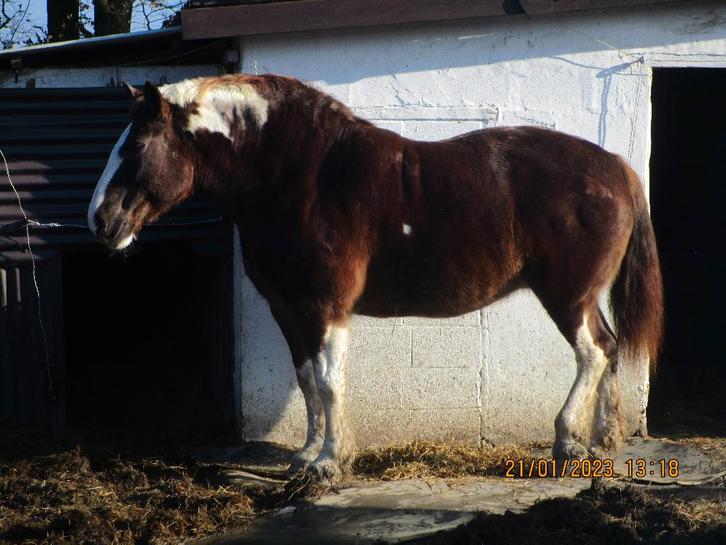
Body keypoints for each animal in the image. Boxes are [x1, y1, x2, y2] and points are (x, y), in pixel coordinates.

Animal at [88, 74, 663, 483]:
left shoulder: (325, 307)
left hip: (567, 295)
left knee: (592, 353)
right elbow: (306, 380)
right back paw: (603, 440)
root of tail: (616, 167)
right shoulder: (287, 307)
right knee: (610, 348)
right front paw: (305, 457)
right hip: (583, 297)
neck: (296, 177)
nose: (100, 221)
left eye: (134, 149)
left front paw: (330, 463)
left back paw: (567, 443)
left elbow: (329, 380)